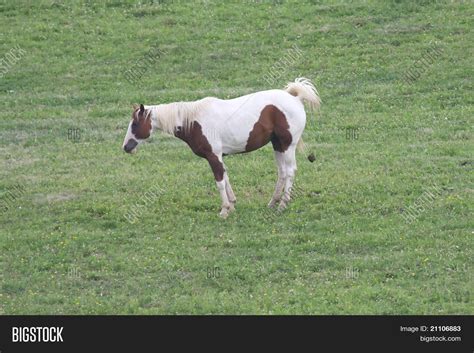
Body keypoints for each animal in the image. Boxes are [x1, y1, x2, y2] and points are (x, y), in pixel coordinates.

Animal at [122, 77, 322, 217]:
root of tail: (295, 98)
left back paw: (282, 205)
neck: (193, 121)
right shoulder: (219, 157)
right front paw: (232, 204)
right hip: (278, 145)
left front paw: (225, 209)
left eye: (135, 124)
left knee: (289, 171)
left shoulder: (213, 156)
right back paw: (273, 202)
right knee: (281, 172)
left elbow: (219, 182)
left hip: (287, 145)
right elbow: (226, 178)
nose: (126, 147)